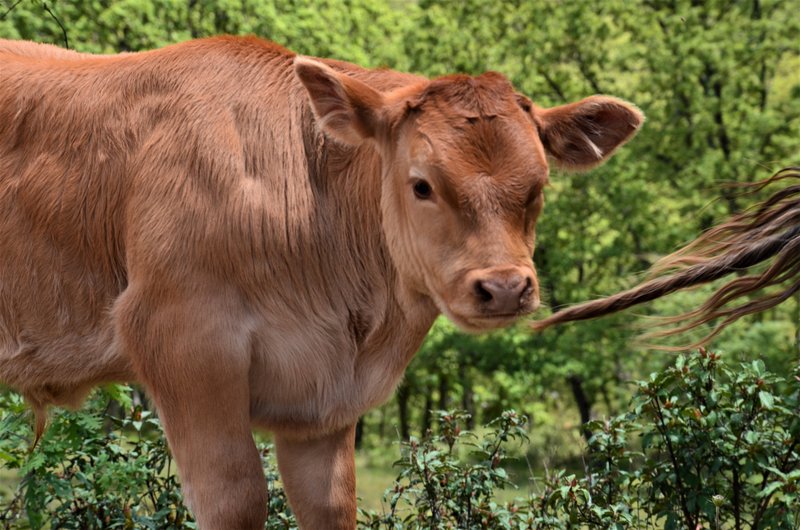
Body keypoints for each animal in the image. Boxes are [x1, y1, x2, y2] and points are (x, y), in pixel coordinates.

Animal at [0, 35, 640, 524]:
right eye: (422, 184)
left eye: (538, 185)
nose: (504, 287)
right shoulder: (181, 338)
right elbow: (236, 499)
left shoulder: (321, 405)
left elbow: (331, 503)